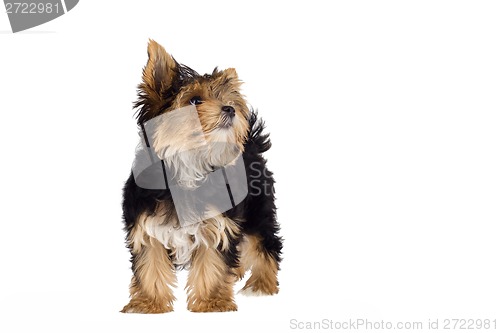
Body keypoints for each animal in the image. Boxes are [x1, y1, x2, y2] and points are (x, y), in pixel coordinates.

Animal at [122, 40, 282, 312]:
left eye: (227, 100)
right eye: (195, 100)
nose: (231, 108)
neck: (189, 164)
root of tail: (250, 144)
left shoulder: (217, 223)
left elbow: (213, 262)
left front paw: (212, 302)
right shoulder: (146, 223)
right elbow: (149, 263)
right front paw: (148, 303)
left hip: (258, 208)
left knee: (265, 241)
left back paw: (262, 286)